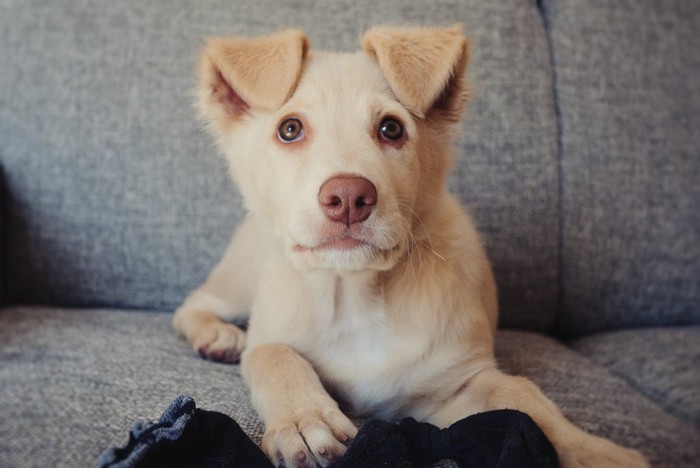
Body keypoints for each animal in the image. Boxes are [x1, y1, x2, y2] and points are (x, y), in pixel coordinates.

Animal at [172, 24, 648, 468]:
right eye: (290, 129)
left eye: (391, 129)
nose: (349, 198)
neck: (354, 294)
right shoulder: (272, 328)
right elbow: (272, 355)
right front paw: (305, 419)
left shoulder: (457, 383)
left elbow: (522, 395)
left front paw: (593, 451)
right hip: (240, 275)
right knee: (193, 304)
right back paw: (217, 334)